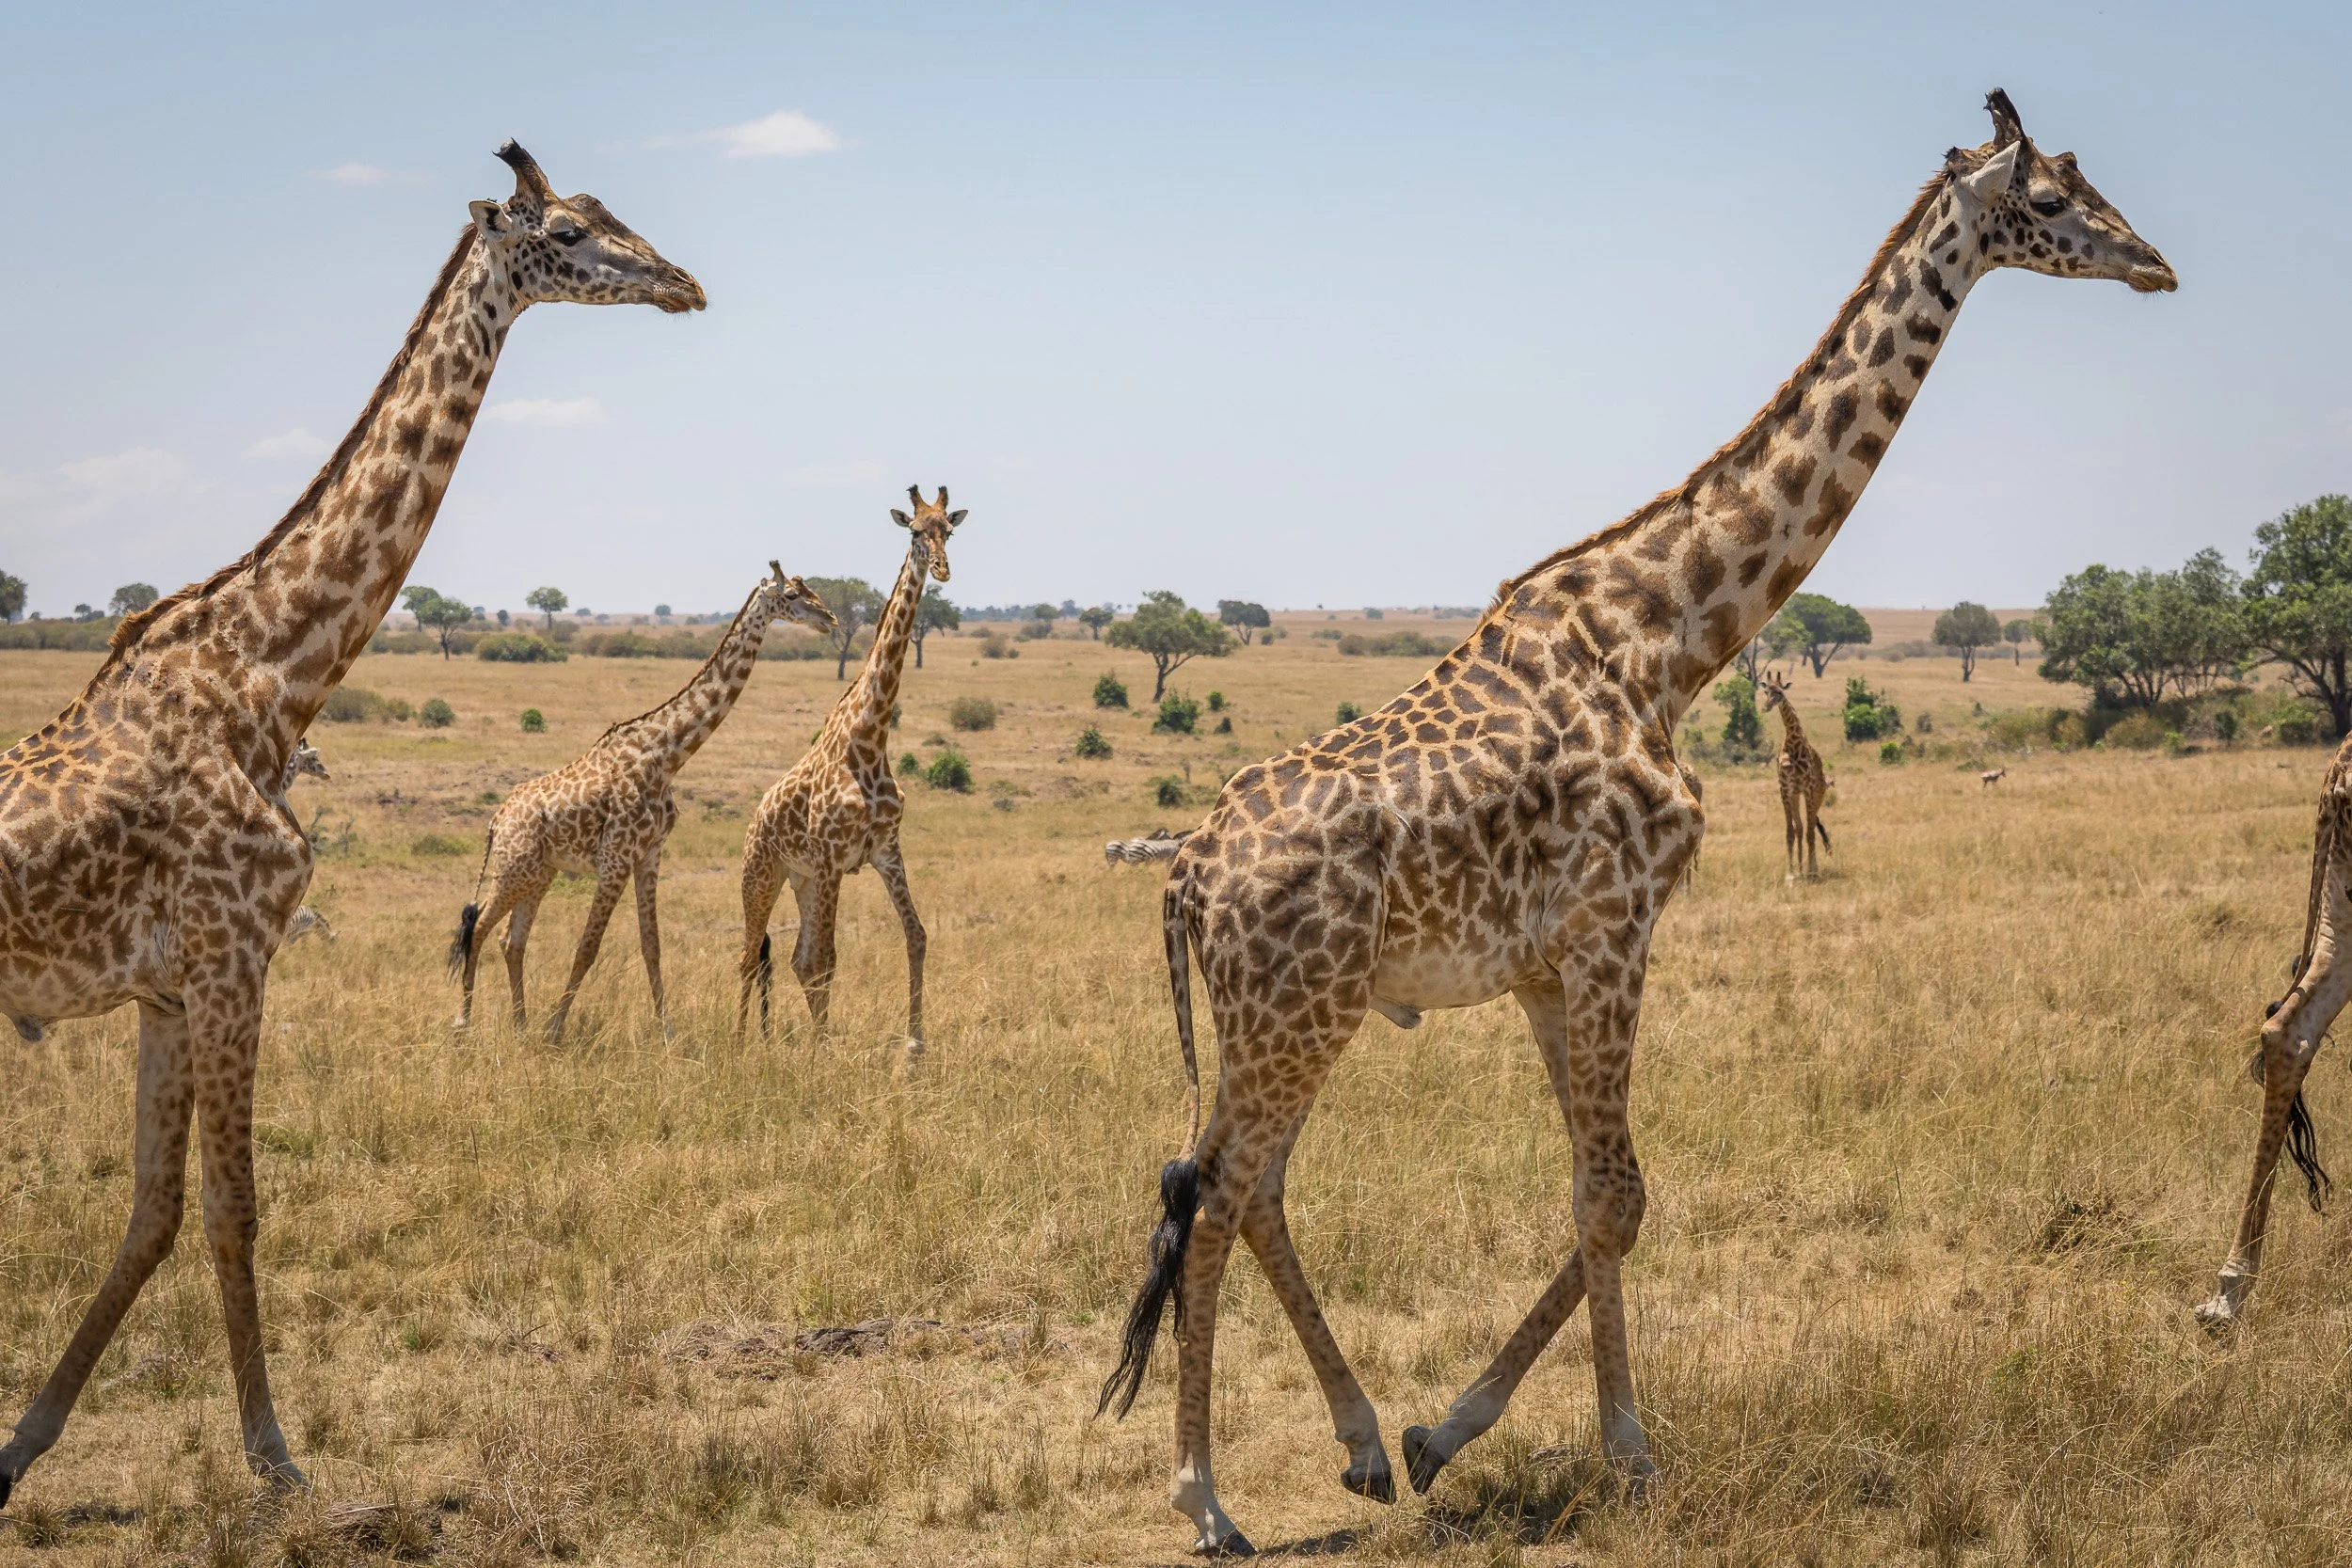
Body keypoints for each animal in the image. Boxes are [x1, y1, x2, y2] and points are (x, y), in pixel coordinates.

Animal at [0, 141, 702, 1510]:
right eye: (568, 230)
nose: (685, 283)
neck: (270, 674)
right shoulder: (232, 958)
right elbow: (233, 1206)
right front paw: (277, 1459)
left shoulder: (171, 985)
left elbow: (154, 1210)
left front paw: (23, 1443)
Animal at [450, 565, 835, 1041]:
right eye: (792, 595)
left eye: (809, 588)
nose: (830, 619)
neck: (666, 756)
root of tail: (495, 820)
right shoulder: (616, 857)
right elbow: (587, 946)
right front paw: (556, 1030)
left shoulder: (650, 854)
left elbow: (651, 945)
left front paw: (666, 1030)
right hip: (513, 868)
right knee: (479, 928)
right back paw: (464, 1023)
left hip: (539, 873)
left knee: (510, 939)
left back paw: (520, 1026)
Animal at [737, 487, 964, 1053]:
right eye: (915, 531)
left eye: (949, 530)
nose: (943, 569)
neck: (869, 737)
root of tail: (753, 820)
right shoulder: (831, 859)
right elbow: (828, 959)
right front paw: (822, 1053)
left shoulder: (884, 850)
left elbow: (916, 936)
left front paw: (915, 1046)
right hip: (763, 874)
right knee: (750, 957)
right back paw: (739, 1040)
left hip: (799, 879)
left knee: (792, 958)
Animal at [1759, 671, 1830, 879]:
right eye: (1766, 691)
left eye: (1780, 692)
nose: (1766, 707)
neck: (1793, 744)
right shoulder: (1785, 789)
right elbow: (1790, 832)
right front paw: (1790, 873)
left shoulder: (1808, 789)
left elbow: (1809, 833)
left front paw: (1812, 870)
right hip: (1795, 796)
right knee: (1800, 827)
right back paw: (1799, 868)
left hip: (1817, 795)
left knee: (1811, 826)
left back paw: (1811, 868)